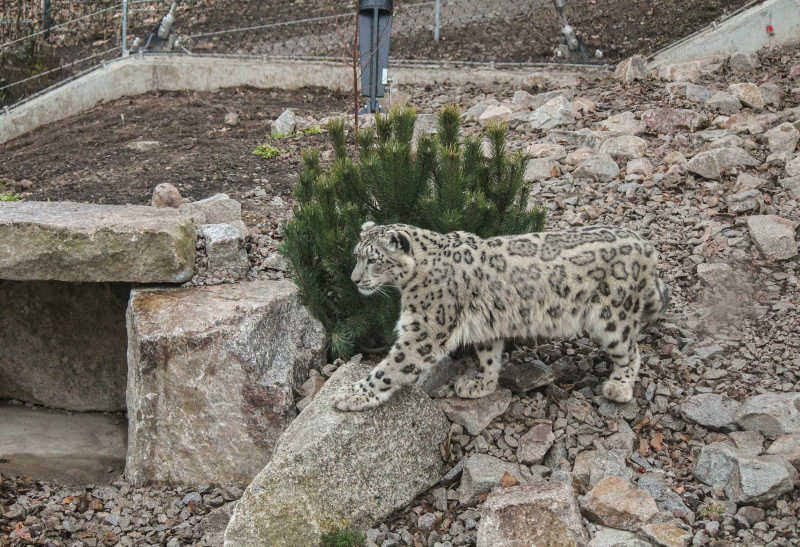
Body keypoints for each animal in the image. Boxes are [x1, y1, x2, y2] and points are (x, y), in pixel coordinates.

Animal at [332, 223, 668, 412]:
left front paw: (352, 394)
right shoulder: (485, 326)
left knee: (632, 351)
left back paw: (619, 387)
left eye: (373, 259)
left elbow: (389, 368)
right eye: (357, 255)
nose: (354, 279)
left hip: (612, 317)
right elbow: (489, 355)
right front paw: (481, 384)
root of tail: (645, 244)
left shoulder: (423, 332)